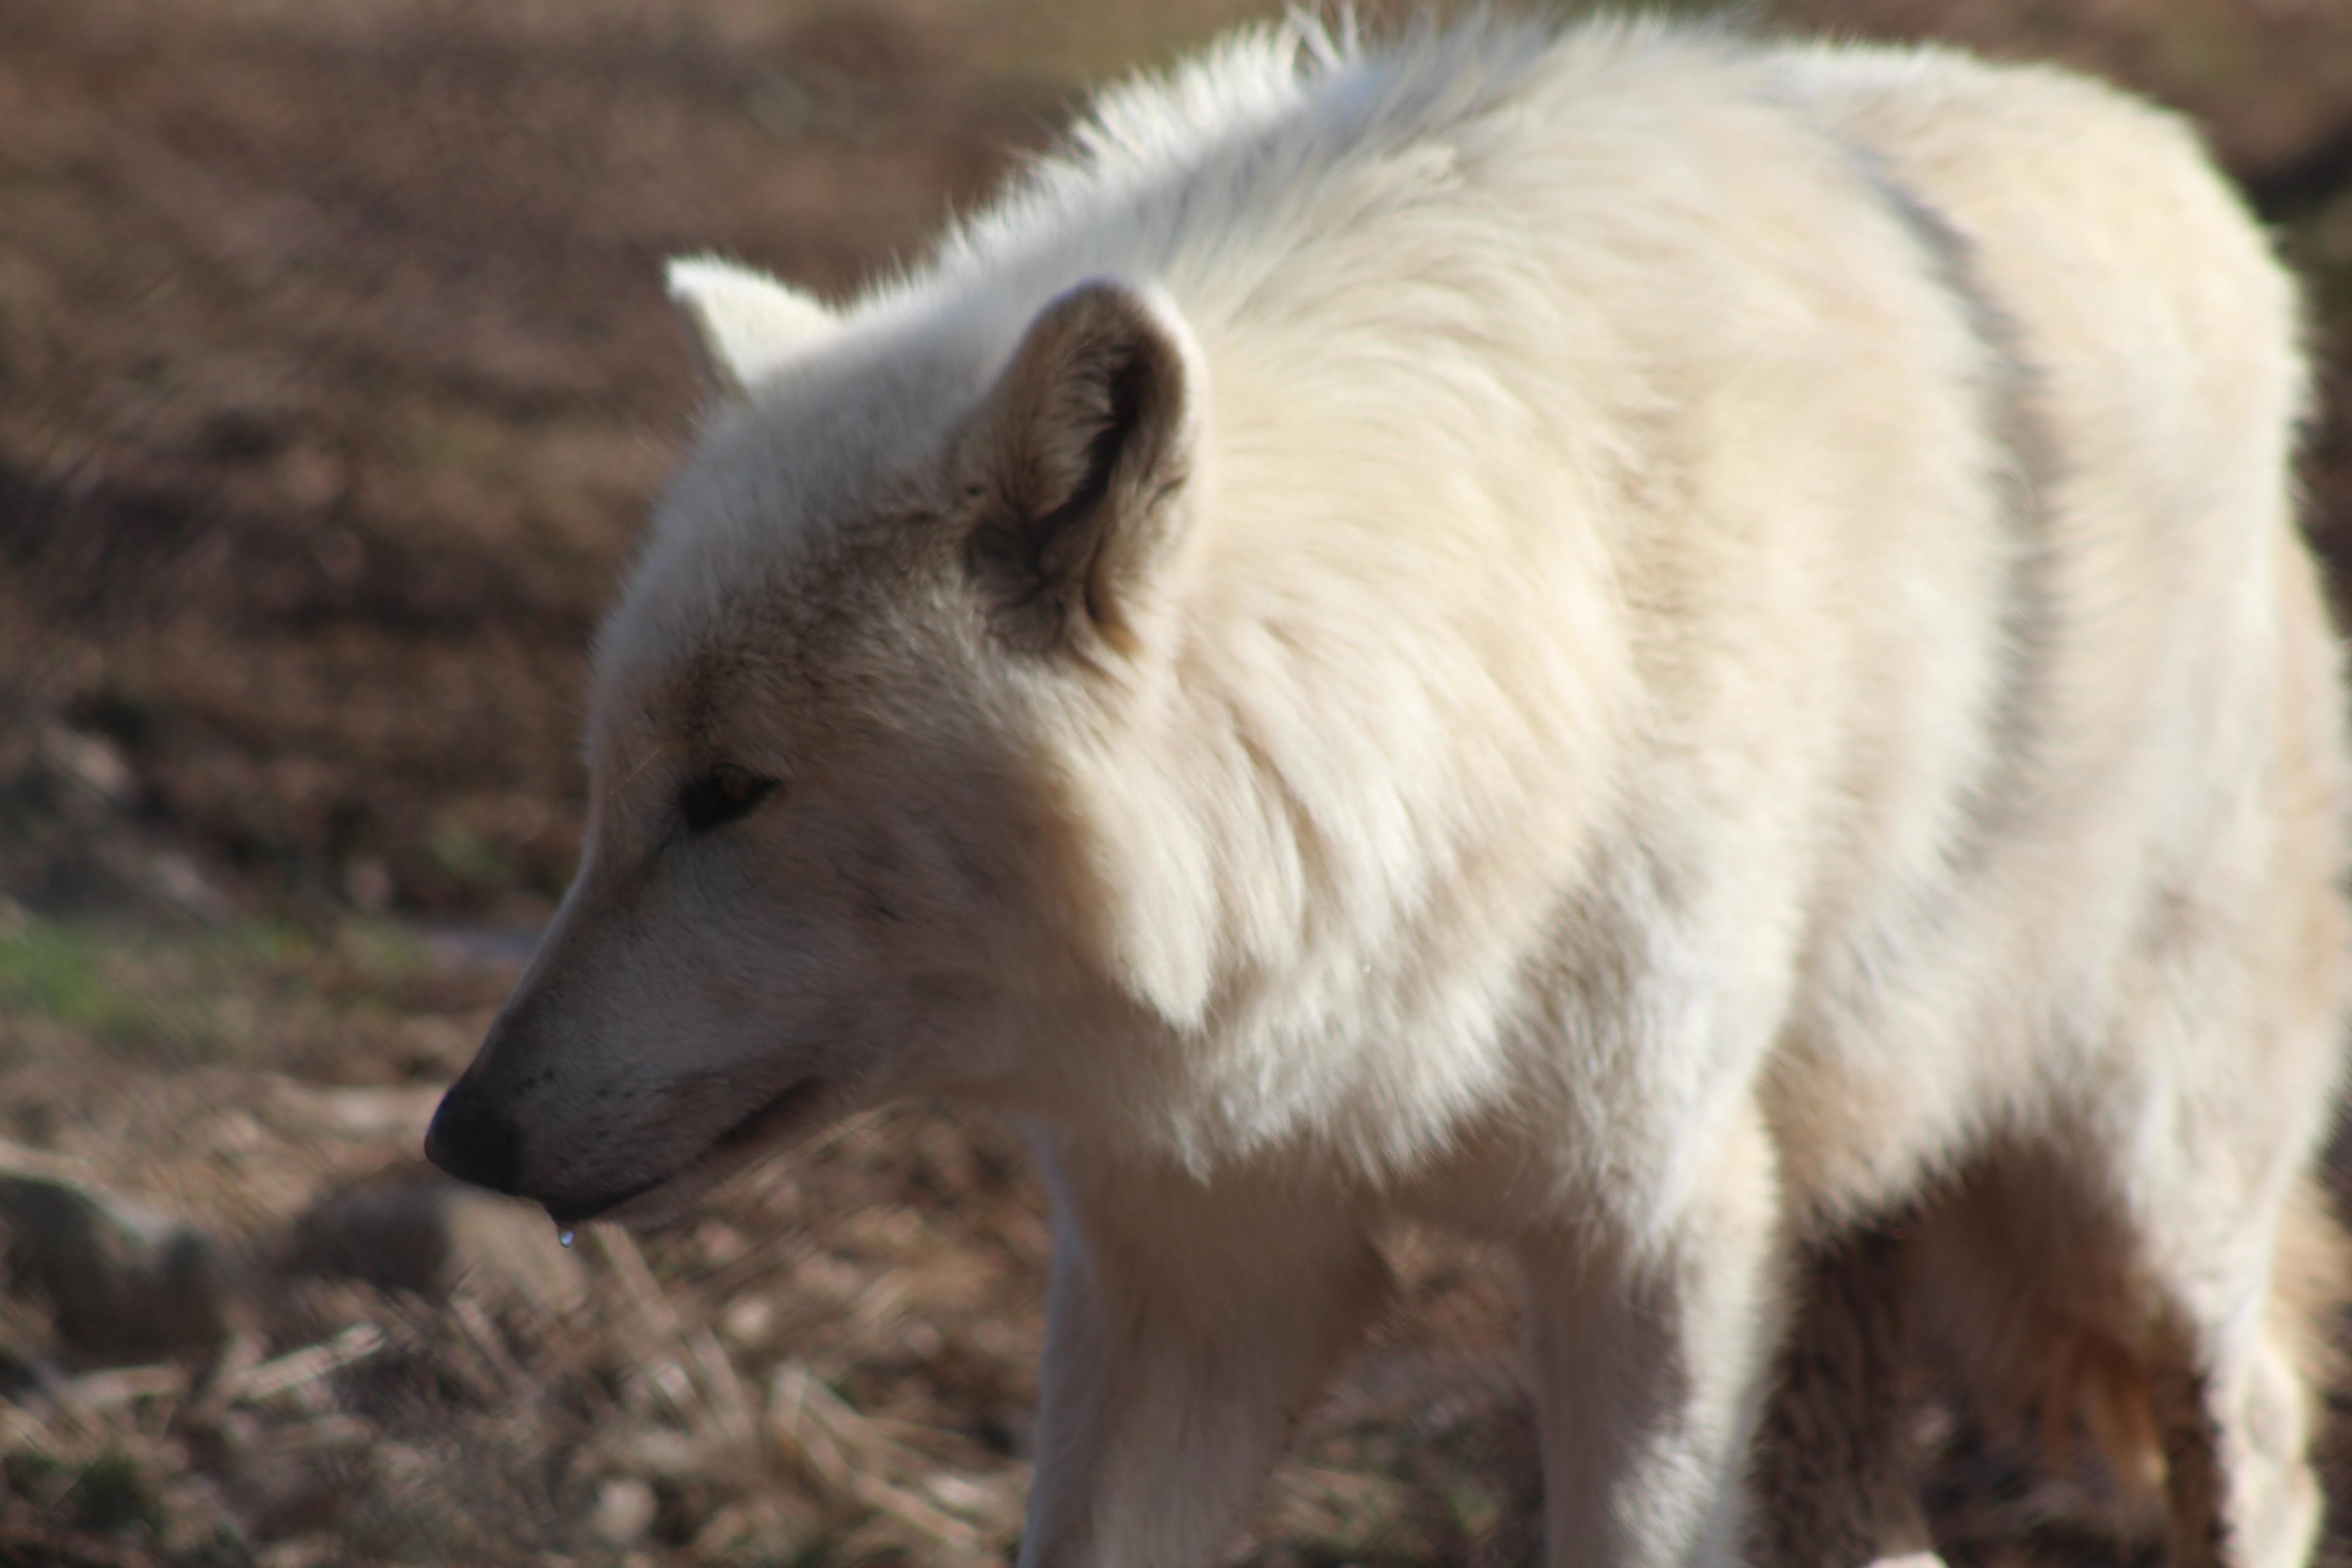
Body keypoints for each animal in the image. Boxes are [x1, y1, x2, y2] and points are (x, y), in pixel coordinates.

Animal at [428, 12, 2352, 1568]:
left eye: (731, 792)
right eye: (612, 790)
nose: (460, 1139)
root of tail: (2203, 192)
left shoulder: (1653, 1236)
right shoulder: (1194, 1256)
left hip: (2124, 1193)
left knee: (2260, 1433)